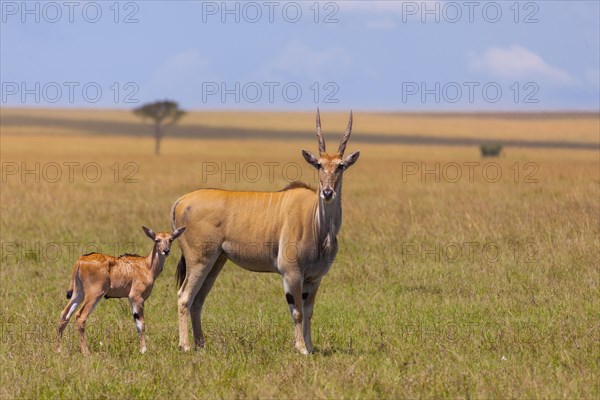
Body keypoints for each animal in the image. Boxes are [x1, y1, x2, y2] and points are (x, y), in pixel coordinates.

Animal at [172, 109, 360, 354]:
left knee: (198, 300)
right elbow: (298, 312)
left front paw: (310, 346)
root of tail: (182, 201)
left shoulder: (314, 279)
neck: (318, 225)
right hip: (199, 260)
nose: (327, 192)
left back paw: (201, 344)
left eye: (340, 166)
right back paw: (185, 345)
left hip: (215, 262)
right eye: (319, 165)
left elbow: (309, 312)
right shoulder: (292, 274)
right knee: (184, 296)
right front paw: (301, 348)